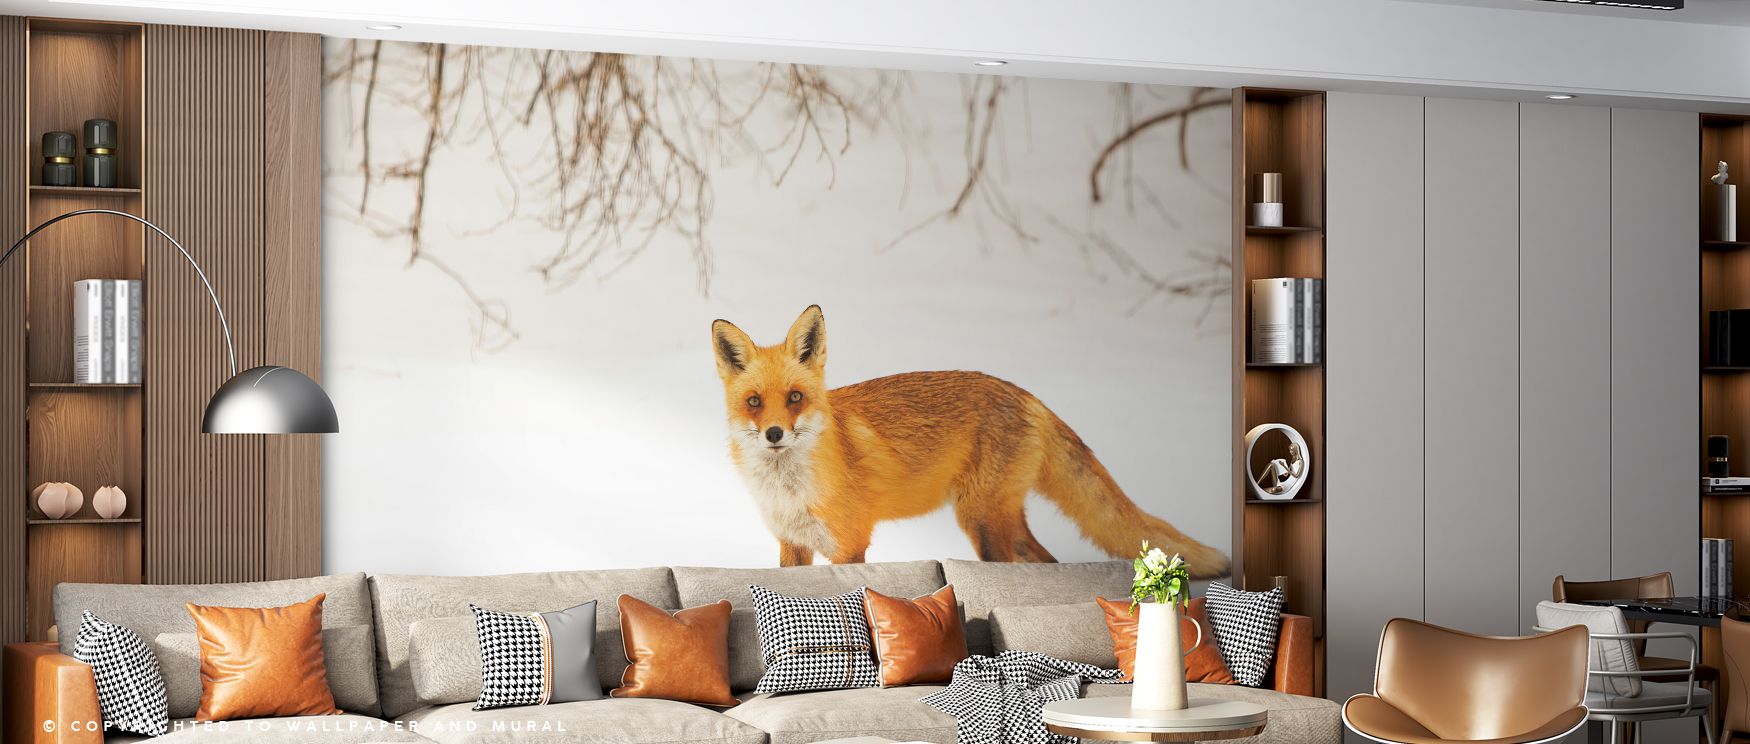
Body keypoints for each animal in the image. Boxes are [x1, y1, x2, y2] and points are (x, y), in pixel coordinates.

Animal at [710, 305, 1230, 578]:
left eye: (795, 397)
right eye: (755, 402)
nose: (775, 434)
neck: (790, 491)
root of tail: (1026, 394)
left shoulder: (850, 545)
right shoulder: (793, 546)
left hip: (981, 522)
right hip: (999, 521)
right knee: (1049, 562)